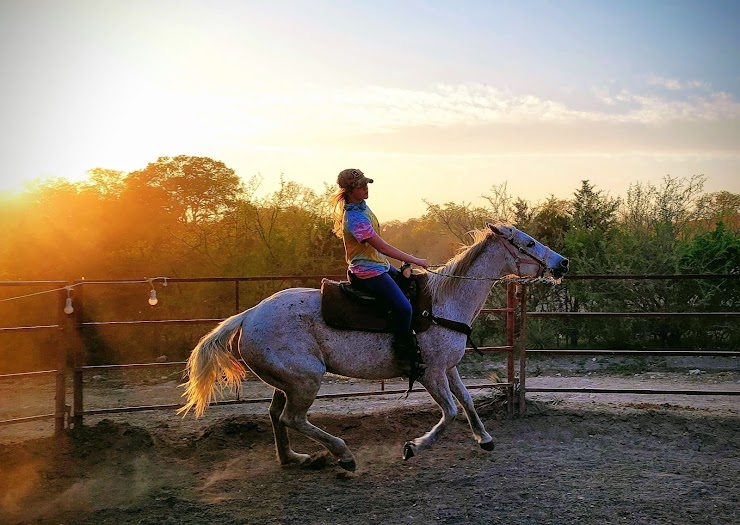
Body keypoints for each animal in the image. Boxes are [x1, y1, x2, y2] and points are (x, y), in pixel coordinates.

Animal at [178, 222, 568, 470]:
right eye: (528, 243)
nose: (562, 263)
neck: (444, 302)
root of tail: (248, 316)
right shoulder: (429, 373)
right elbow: (450, 412)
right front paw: (414, 447)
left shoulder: (448, 368)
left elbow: (468, 403)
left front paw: (484, 438)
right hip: (306, 380)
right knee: (292, 417)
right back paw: (342, 455)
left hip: (288, 381)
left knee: (277, 416)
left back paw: (295, 459)